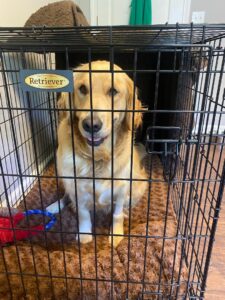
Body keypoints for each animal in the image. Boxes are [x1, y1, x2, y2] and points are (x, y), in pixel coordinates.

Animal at [47, 60, 148, 246]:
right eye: (82, 89)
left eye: (113, 91)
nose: (91, 125)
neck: (98, 156)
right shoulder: (76, 187)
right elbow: (83, 213)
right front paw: (85, 235)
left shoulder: (122, 187)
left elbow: (117, 214)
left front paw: (116, 234)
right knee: (66, 196)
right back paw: (54, 206)